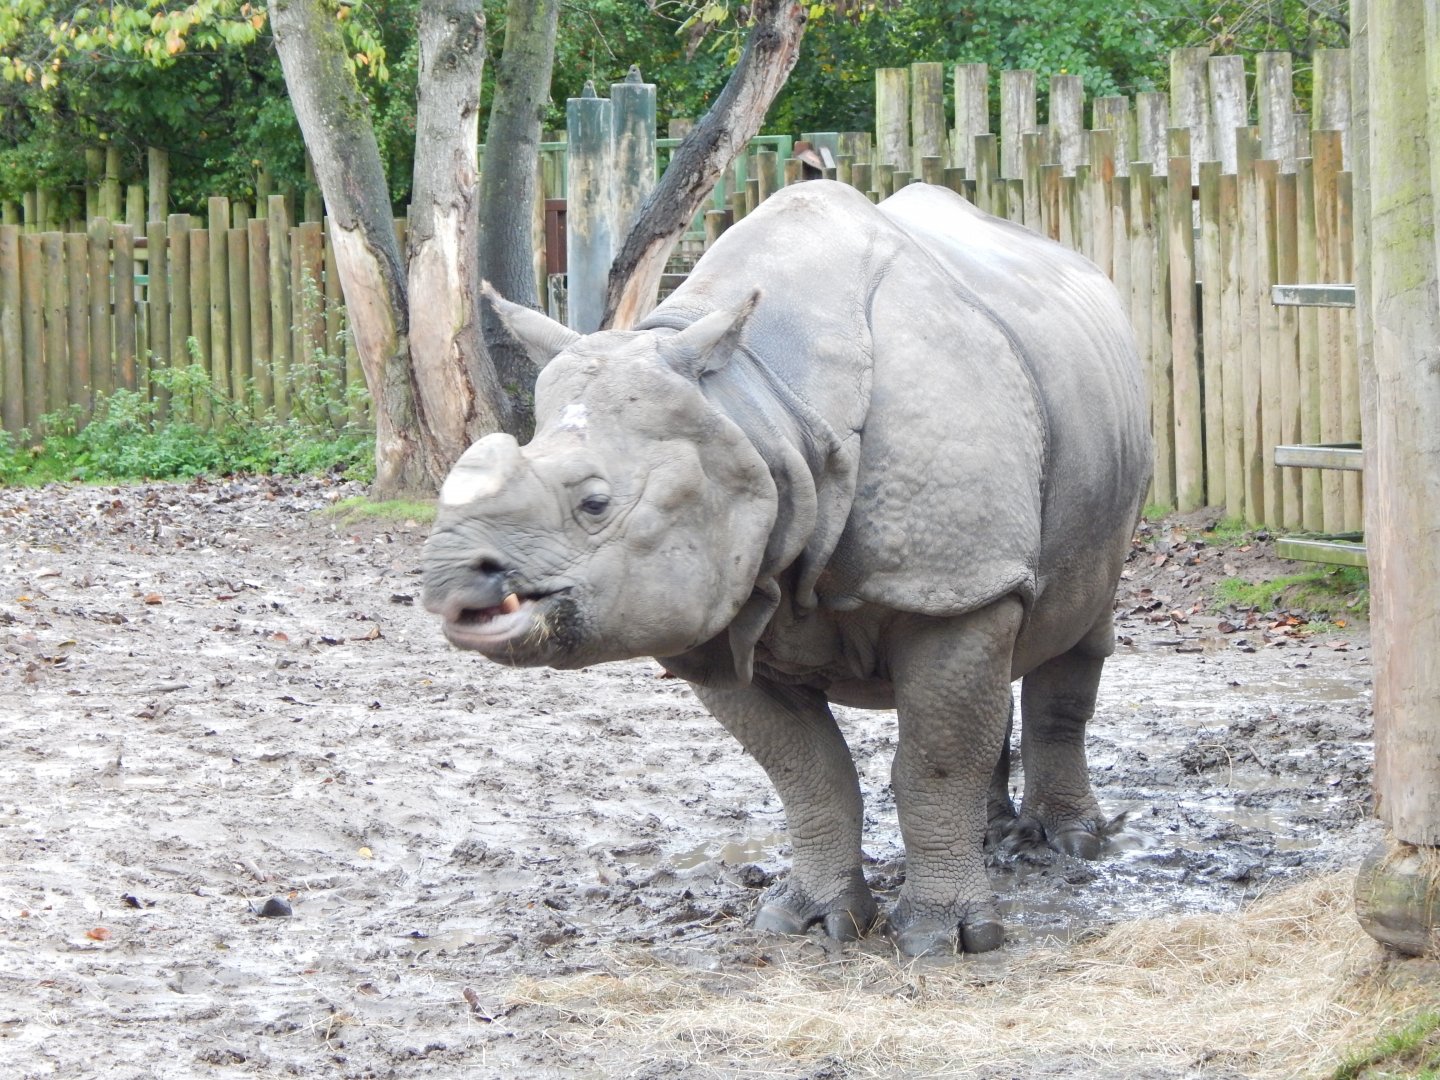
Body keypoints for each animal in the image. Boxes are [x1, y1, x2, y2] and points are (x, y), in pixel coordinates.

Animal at [422, 180, 1151, 955]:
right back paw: (993, 838)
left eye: (595, 503)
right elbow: (808, 772)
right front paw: (807, 921)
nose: (454, 585)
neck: (756, 405)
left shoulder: (946, 576)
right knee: (1004, 636)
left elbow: (934, 762)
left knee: (1075, 622)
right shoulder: (719, 610)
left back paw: (1067, 846)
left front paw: (943, 940)